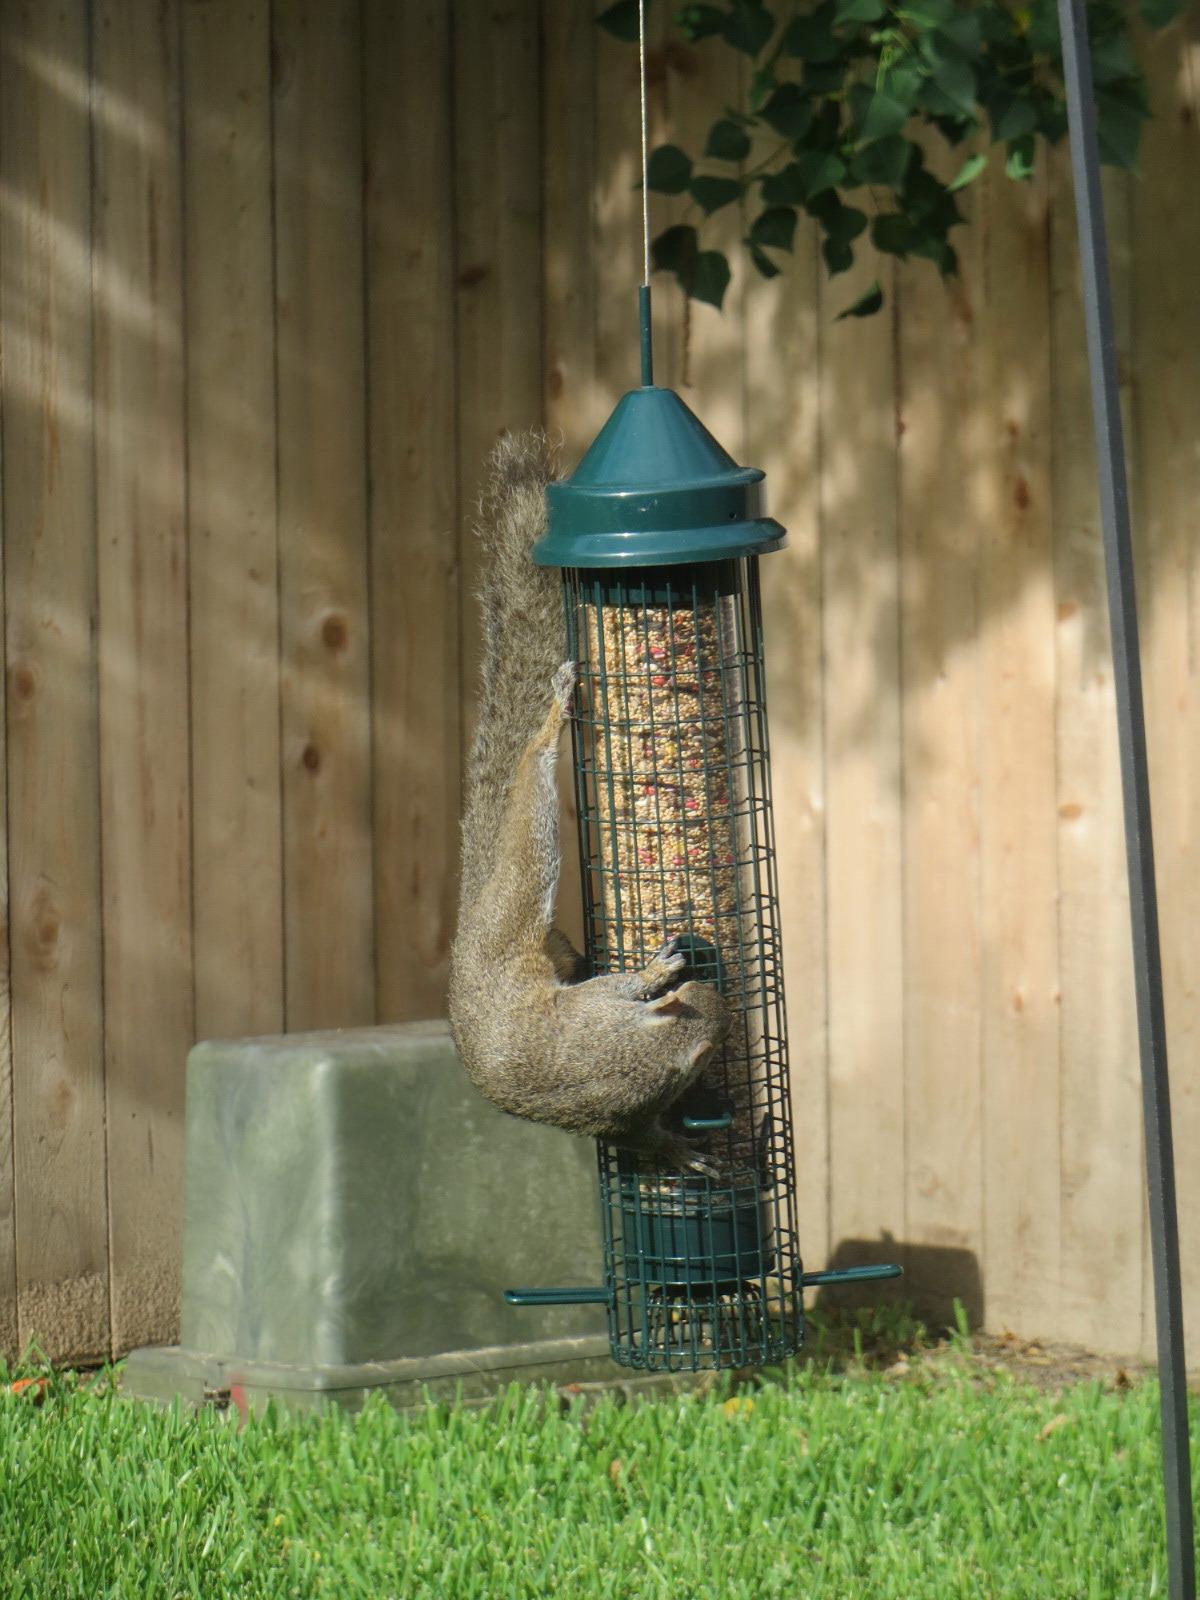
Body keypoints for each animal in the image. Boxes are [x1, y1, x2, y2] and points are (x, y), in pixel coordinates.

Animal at [448, 431, 731, 1171]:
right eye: (705, 1052)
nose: (710, 991)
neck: (620, 1055)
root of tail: (467, 932)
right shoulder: (603, 1018)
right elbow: (626, 991)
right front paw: (658, 966)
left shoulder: (619, 1105)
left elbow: (638, 1134)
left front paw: (678, 1153)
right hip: (520, 897)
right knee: (531, 807)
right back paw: (552, 722)